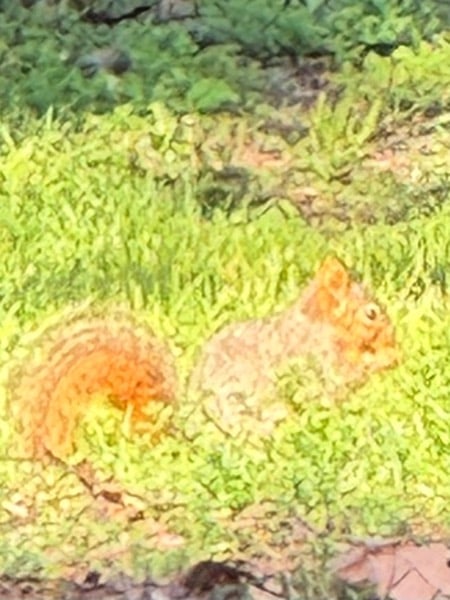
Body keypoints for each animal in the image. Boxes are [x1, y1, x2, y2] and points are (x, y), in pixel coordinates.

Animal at [10, 257, 399, 458]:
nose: (396, 344)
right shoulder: (312, 361)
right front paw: (385, 360)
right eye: (372, 314)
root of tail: (183, 429)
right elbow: (340, 379)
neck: (320, 326)